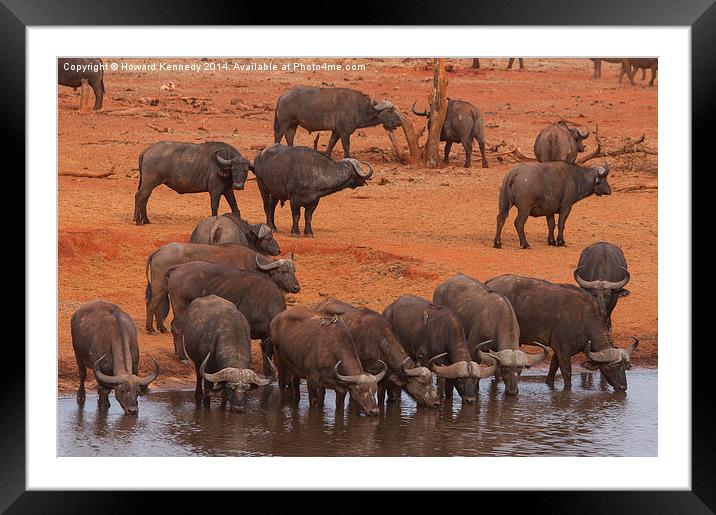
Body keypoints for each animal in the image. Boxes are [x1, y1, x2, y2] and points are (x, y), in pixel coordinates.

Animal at [145, 244, 300, 336]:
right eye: (284, 271)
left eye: (294, 270)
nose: (296, 288)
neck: (253, 264)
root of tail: (159, 251)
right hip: (158, 287)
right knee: (152, 305)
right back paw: (151, 329)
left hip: (164, 289)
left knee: (158, 306)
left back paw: (162, 328)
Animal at [272, 85, 402, 158]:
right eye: (390, 110)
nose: (399, 122)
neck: (357, 107)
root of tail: (283, 96)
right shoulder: (345, 132)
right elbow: (346, 146)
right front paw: (348, 157)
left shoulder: (336, 131)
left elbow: (331, 143)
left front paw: (327, 155)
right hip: (284, 122)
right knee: (278, 136)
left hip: (294, 124)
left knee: (289, 136)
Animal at [486, 276, 636, 394]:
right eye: (612, 367)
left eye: (626, 366)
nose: (622, 387)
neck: (583, 319)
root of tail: (490, 282)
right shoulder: (563, 349)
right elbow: (567, 373)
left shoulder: (558, 350)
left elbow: (552, 369)